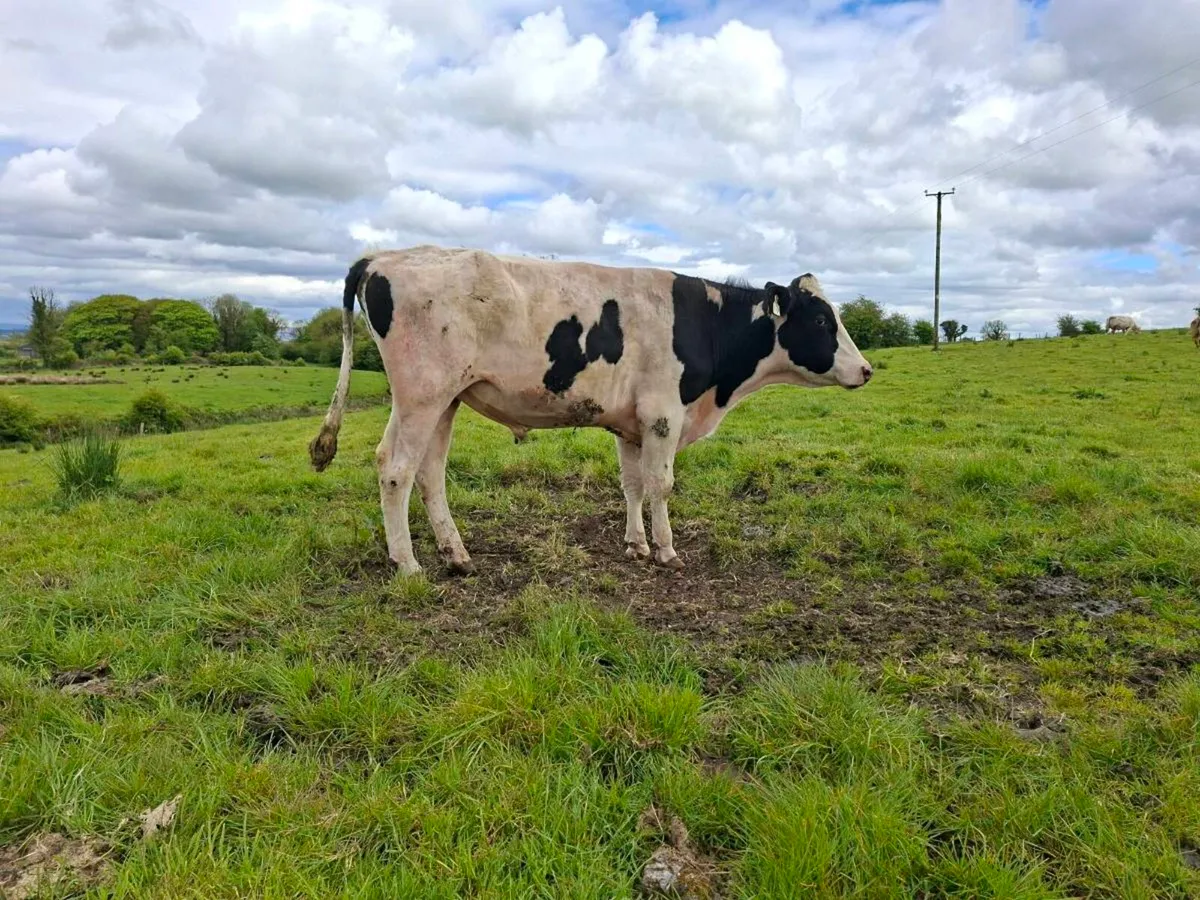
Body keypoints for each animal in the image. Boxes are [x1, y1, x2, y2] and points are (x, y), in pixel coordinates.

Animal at [309, 245, 873, 576]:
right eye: (822, 321)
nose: (866, 370)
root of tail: (382, 257)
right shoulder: (664, 414)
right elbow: (661, 484)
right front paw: (666, 551)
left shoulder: (631, 424)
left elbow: (632, 485)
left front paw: (636, 545)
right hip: (422, 395)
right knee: (395, 469)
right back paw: (407, 563)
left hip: (444, 399)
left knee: (429, 474)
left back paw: (457, 555)